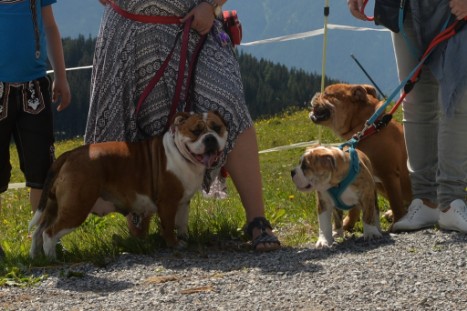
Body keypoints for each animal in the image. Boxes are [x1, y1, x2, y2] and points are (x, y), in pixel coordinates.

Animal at [29, 112, 229, 260]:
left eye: (217, 128)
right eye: (196, 131)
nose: (209, 138)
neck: (182, 153)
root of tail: (69, 154)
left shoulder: (183, 202)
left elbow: (181, 224)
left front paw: (185, 239)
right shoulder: (168, 203)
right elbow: (169, 226)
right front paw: (174, 244)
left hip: (53, 207)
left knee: (38, 231)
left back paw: (35, 257)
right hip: (76, 208)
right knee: (49, 233)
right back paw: (53, 259)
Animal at [312, 84, 412, 230]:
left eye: (327, 93)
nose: (316, 94)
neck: (368, 130)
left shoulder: (388, 175)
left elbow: (396, 203)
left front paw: (397, 222)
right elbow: (354, 208)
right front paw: (348, 224)